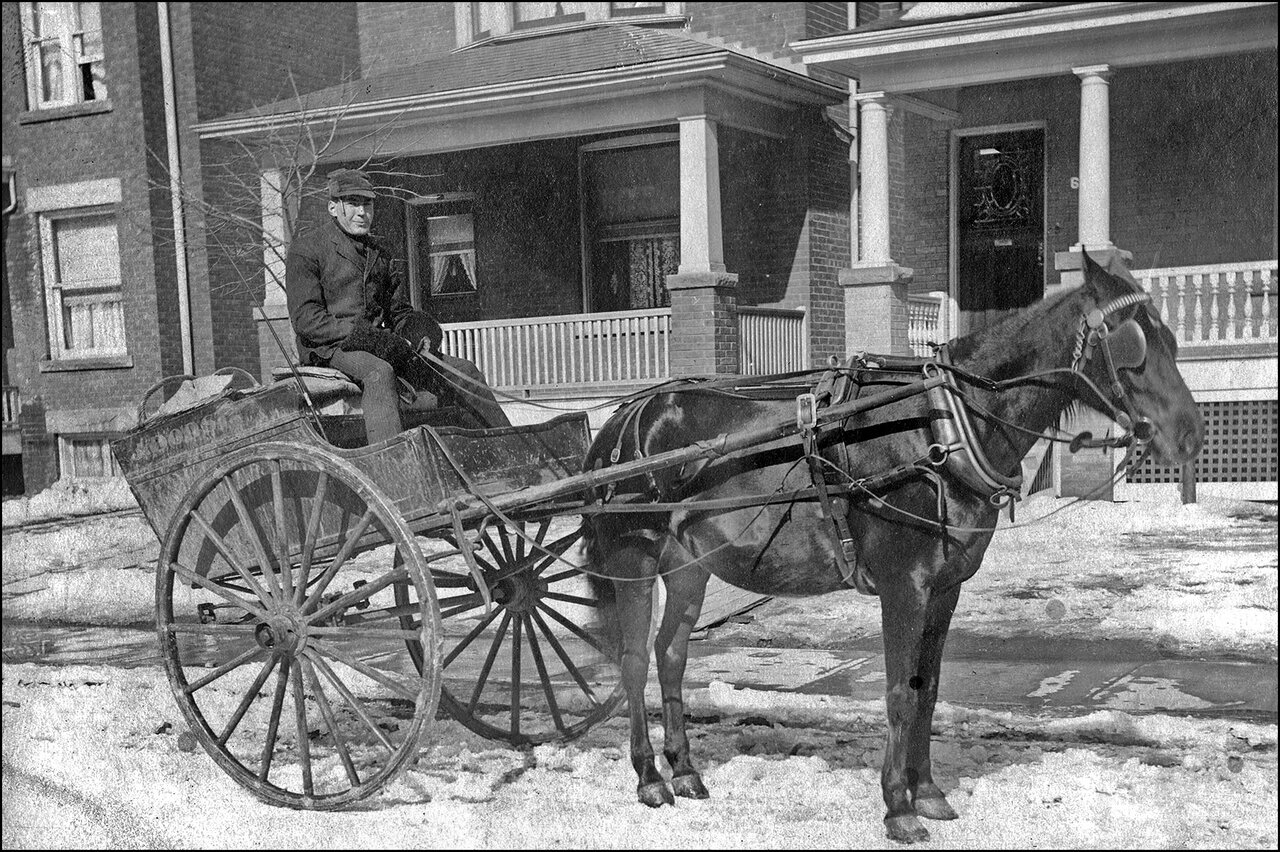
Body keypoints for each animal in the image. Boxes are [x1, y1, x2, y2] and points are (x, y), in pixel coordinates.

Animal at [581, 249, 1198, 839]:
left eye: (1171, 338)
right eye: (1132, 343)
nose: (1190, 433)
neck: (942, 425)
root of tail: (625, 417)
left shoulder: (945, 588)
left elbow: (928, 688)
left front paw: (928, 792)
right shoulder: (905, 586)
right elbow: (901, 691)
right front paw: (898, 807)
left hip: (690, 563)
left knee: (671, 655)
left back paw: (685, 770)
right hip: (634, 559)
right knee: (634, 660)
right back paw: (649, 776)